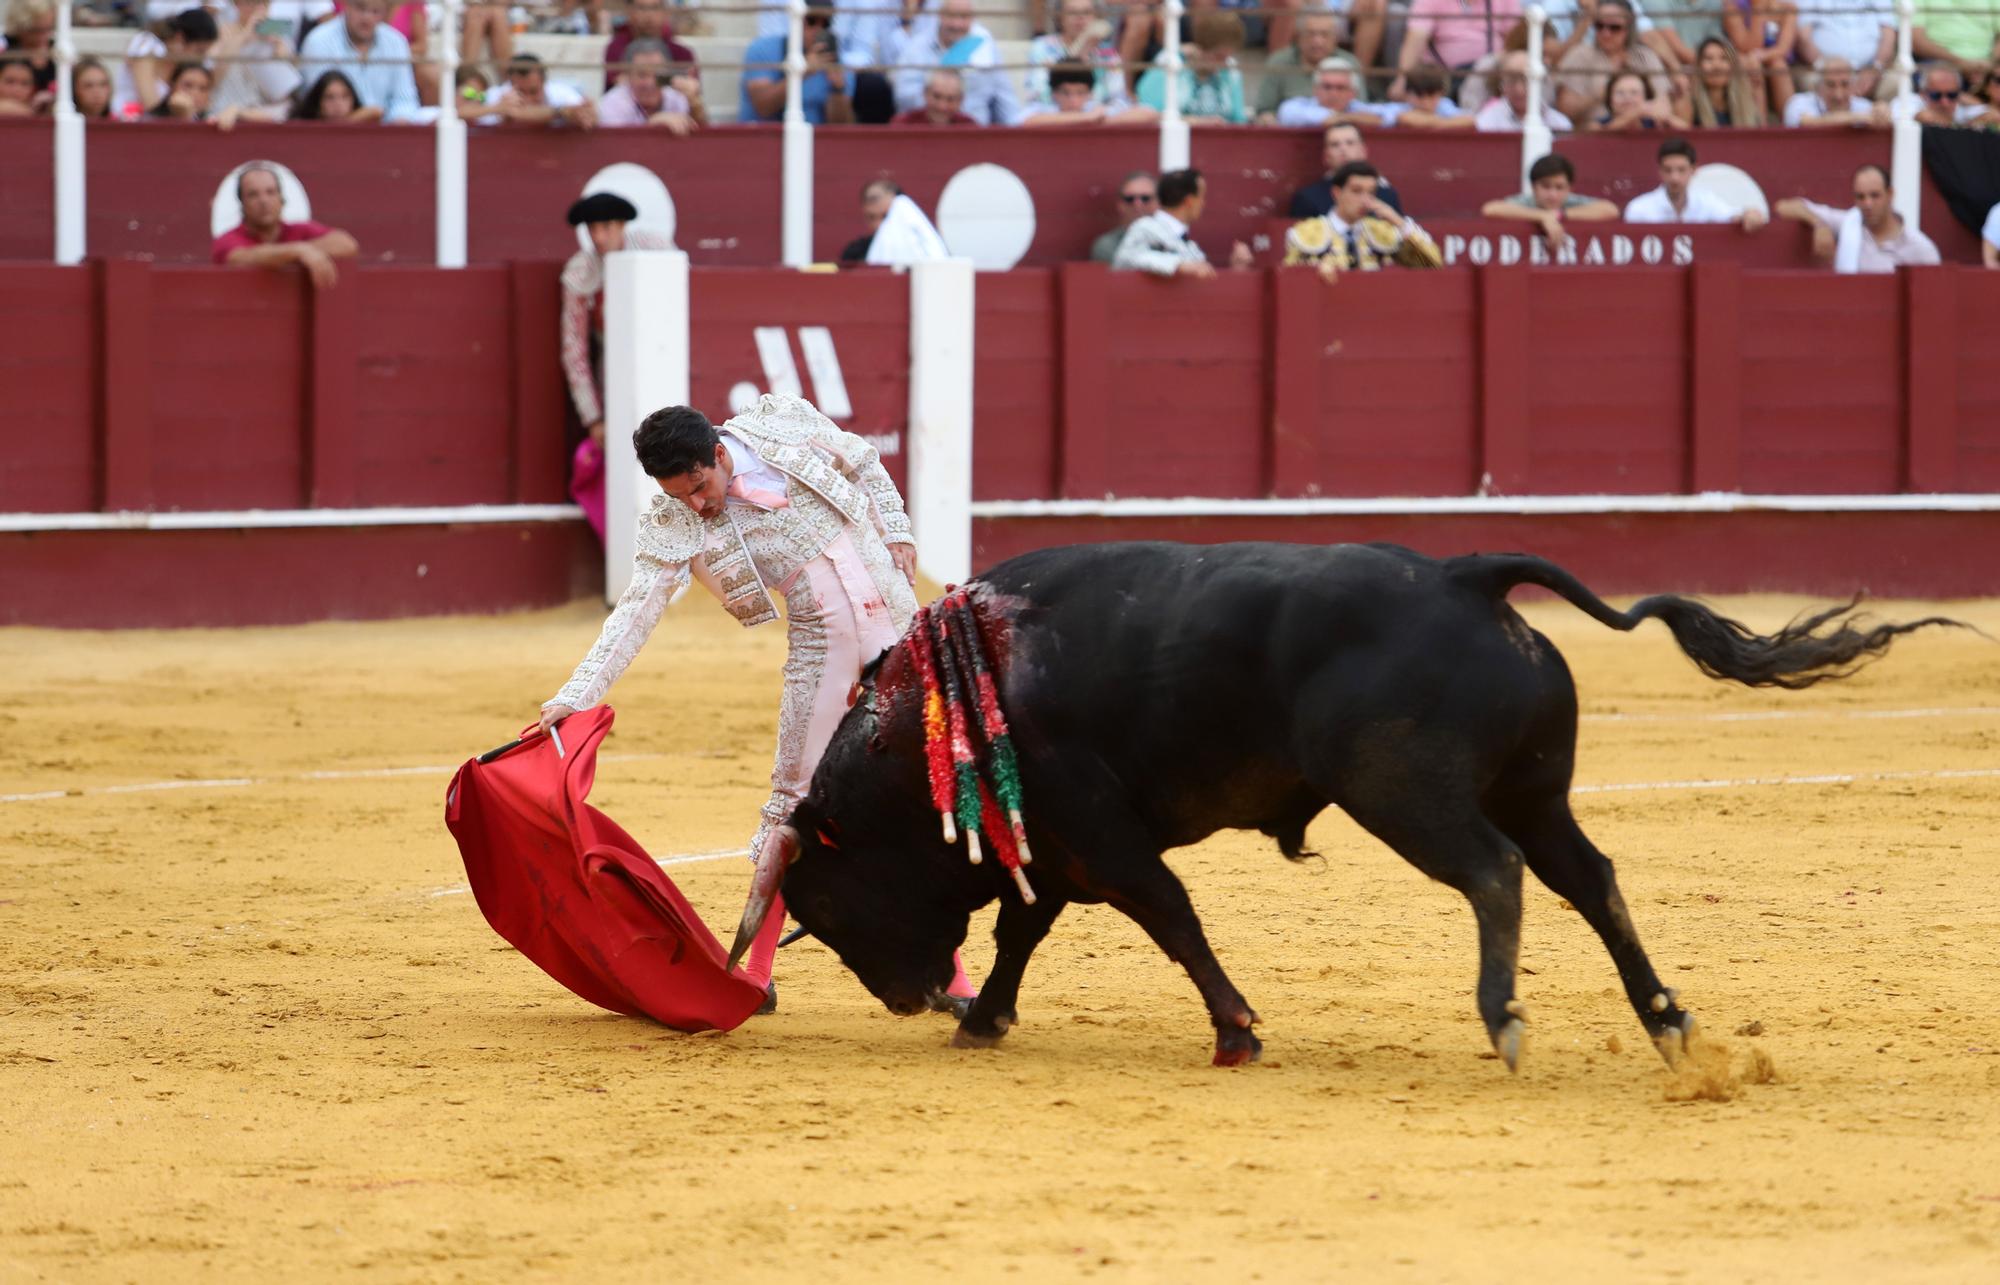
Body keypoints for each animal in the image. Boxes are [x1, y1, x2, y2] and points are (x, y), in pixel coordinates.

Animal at [724, 536, 1952, 1056]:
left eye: (823, 904)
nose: (908, 997)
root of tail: (1464, 578)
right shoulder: (1063, 844)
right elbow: (1029, 929)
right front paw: (986, 1017)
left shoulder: (1095, 830)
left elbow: (1165, 916)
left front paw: (1235, 1030)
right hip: (1534, 790)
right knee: (1589, 878)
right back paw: (1666, 1021)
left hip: (1403, 793)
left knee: (1494, 873)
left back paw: (1502, 1017)